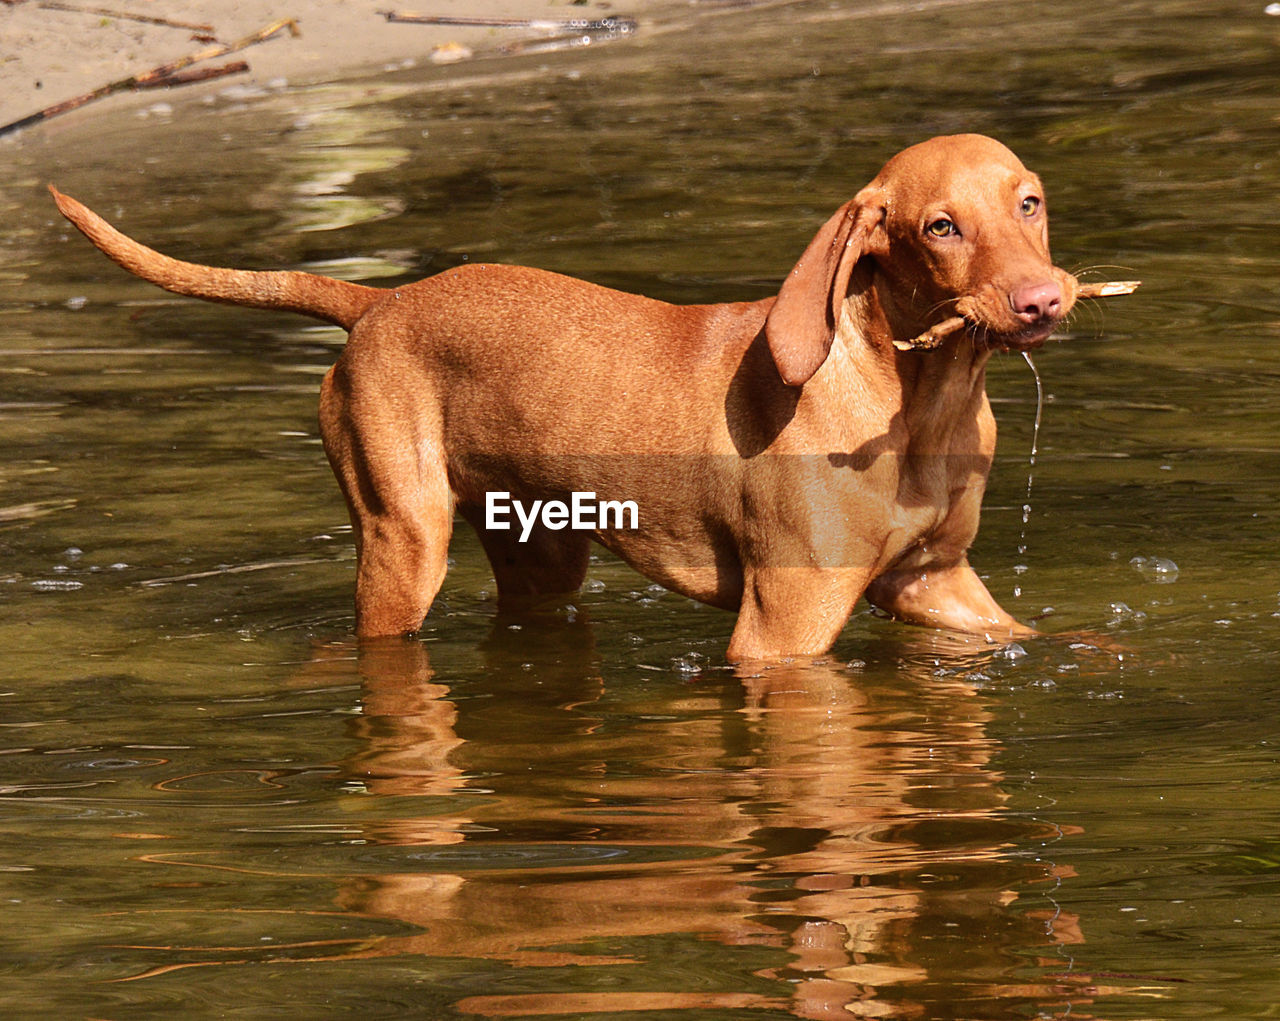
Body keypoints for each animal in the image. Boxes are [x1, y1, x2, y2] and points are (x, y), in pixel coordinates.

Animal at [55, 133, 1085, 665]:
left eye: (1028, 203)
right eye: (940, 228)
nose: (1042, 300)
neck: (918, 400)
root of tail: (380, 301)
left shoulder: (936, 581)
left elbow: (1030, 633)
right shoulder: (781, 628)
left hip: (539, 551)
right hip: (402, 540)